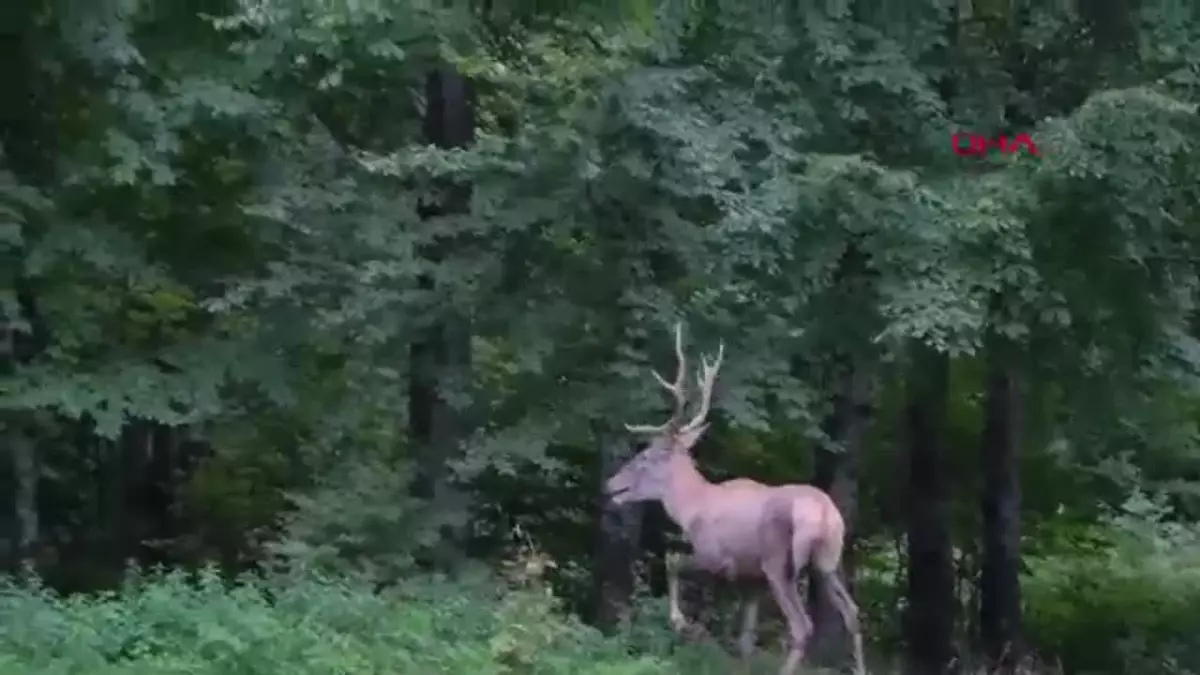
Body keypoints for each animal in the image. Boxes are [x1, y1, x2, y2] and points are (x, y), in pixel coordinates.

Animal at [604, 319, 868, 672]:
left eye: (644, 457)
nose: (610, 484)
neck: (692, 507)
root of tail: (825, 515)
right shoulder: (751, 580)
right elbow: (746, 638)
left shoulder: (720, 557)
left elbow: (673, 561)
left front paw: (682, 622)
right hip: (827, 560)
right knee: (852, 613)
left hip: (779, 561)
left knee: (802, 626)